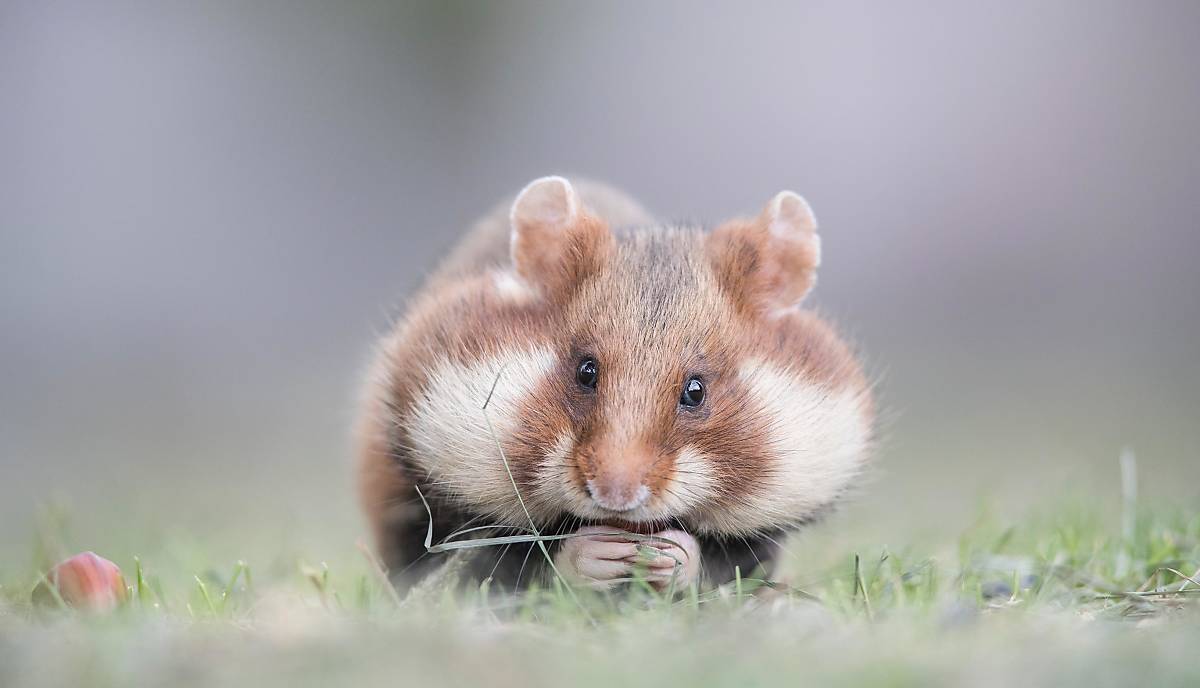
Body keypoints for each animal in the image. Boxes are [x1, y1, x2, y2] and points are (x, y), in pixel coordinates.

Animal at [355, 176, 873, 590]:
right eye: (586, 371)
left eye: (696, 390)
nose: (615, 497)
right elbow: (517, 561)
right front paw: (600, 554)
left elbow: (721, 566)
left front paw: (672, 557)